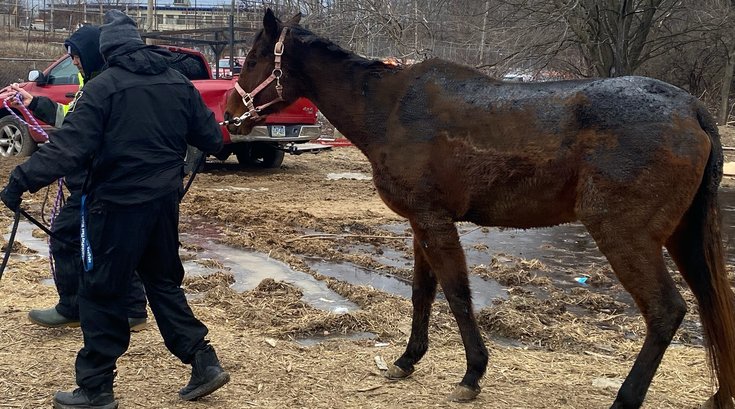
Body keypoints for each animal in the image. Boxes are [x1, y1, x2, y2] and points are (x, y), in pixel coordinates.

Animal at [224, 7, 735, 406]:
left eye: (250, 59)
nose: (230, 112)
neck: (390, 108)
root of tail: (690, 108)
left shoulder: (435, 222)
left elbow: (456, 295)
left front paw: (472, 374)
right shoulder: (421, 224)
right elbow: (422, 294)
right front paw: (407, 359)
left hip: (627, 237)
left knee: (665, 312)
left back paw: (626, 397)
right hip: (683, 238)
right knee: (709, 304)